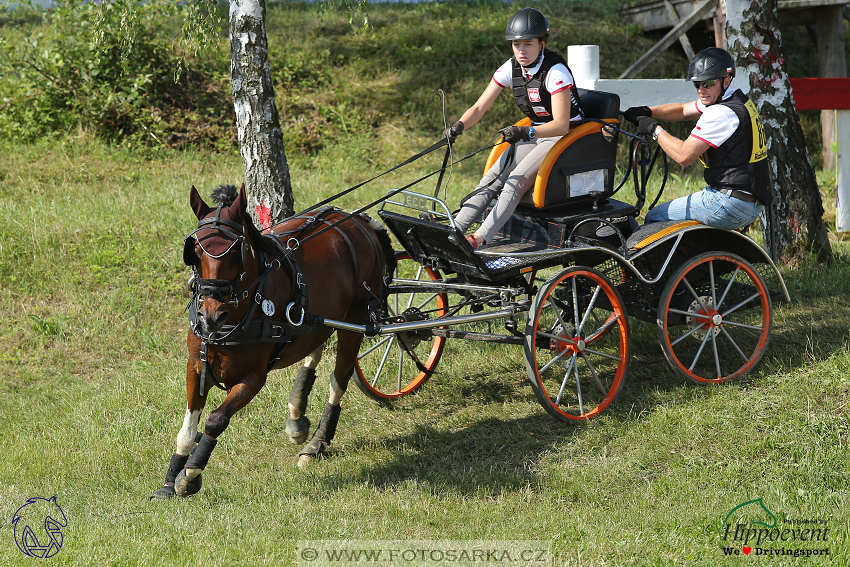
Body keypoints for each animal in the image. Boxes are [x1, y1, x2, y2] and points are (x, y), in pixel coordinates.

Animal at [150, 184, 394, 500]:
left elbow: (215, 420)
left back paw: (317, 443)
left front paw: (190, 475)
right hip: (317, 319)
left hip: (355, 322)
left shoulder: (253, 378)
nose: (210, 316)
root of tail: (360, 222)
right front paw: (170, 480)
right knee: (313, 349)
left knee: (339, 378)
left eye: (235, 253)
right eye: (195, 251)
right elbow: (187, 428)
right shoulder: (196, 367)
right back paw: (297, 414)